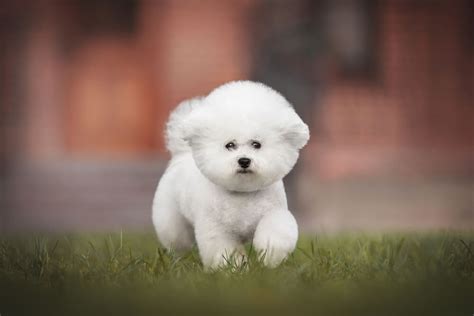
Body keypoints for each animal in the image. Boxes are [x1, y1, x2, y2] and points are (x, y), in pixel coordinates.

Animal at [150, 81, 310, 270]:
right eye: (230, 145)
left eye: (256, 144)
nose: (244, 161)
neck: (243, 194)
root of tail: (181, 154)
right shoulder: (217, 229)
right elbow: (225, 250)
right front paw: (233, 269)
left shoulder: (273, 212)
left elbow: (276, 231)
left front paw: (271, 256)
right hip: (172, 220)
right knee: (177, 243)